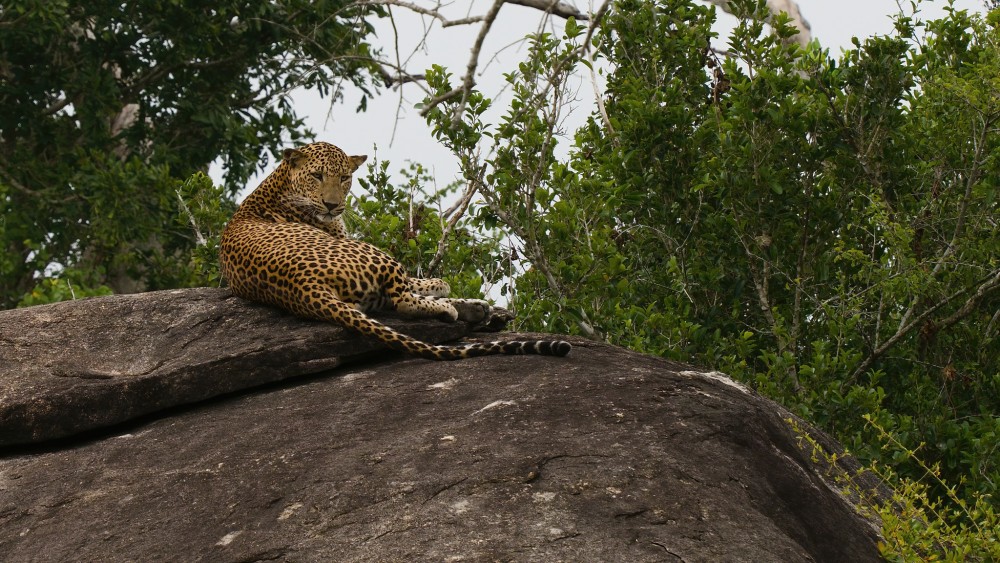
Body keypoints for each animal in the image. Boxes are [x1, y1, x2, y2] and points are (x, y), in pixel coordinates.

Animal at [222, 142, 576, 362]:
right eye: (317, 175)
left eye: (345, 178)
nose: (333, 205)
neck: (281, 181)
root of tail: (304, 287)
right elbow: (416, 281)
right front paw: (440, 285)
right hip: (370, 253)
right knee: (404, 300)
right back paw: (453, 307)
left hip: (363, 295)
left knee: (396, 299)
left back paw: (472, 309)